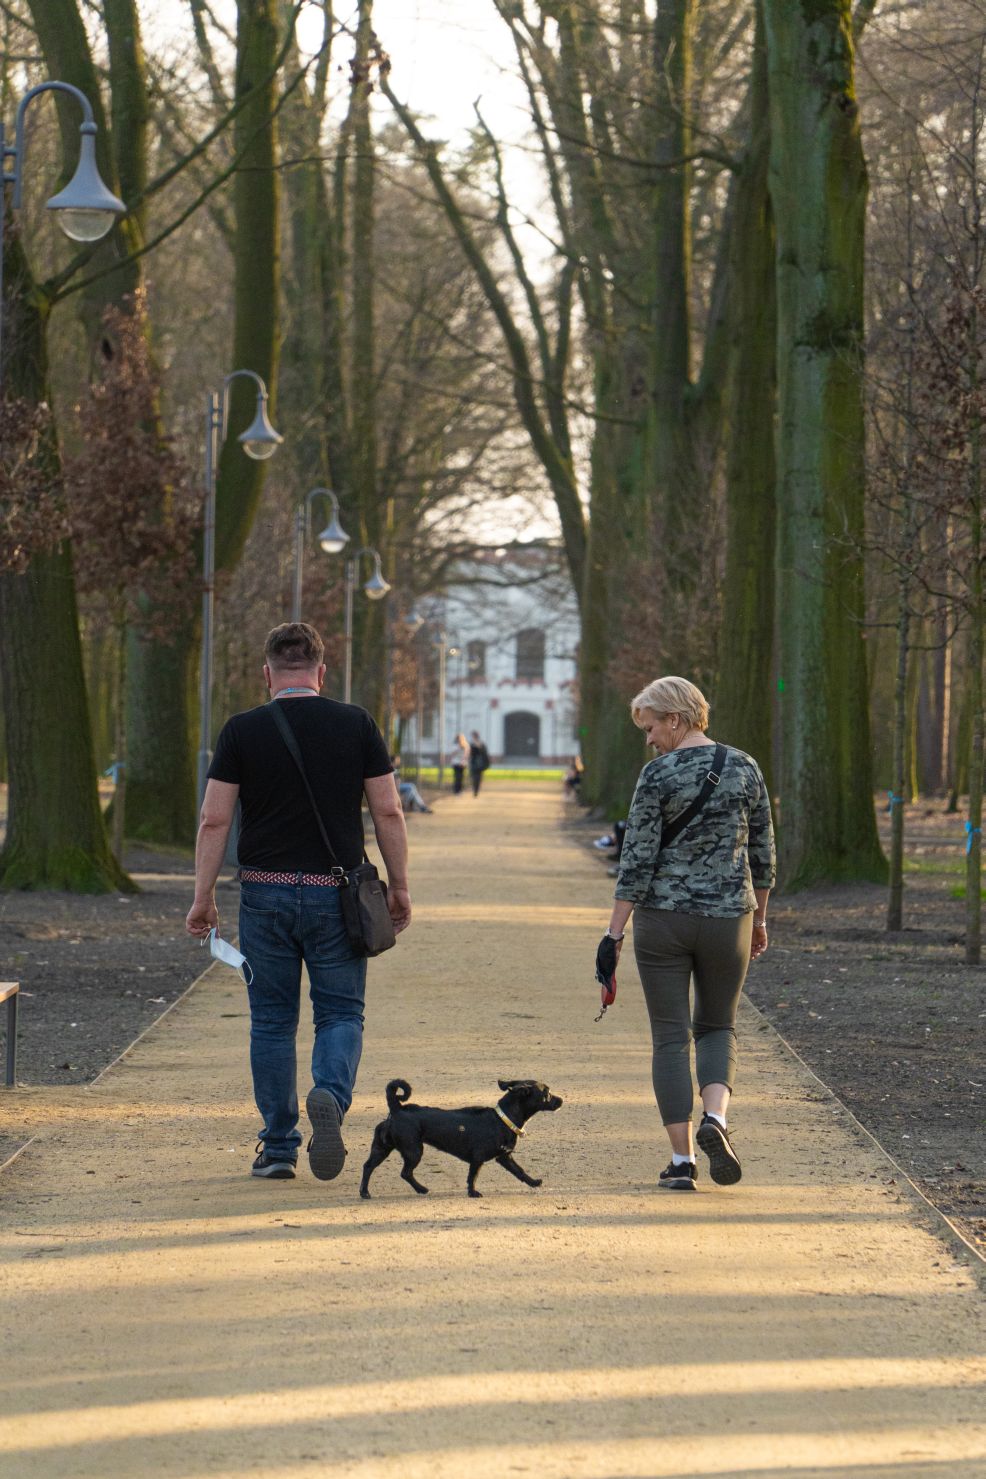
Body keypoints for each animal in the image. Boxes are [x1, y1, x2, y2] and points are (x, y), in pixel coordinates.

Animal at [362, 1082, 561, 1195]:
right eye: (547, 1093)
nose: (561, 1100)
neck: (502, 1118)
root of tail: (397, 1109)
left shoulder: (505, 1157)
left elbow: (520, 1171)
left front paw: (533, 1183)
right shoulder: (478, 1158)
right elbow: (472, 1176)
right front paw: (473, 1193)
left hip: (382, 1148)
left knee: (368, 1167)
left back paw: (364, 1193)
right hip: (414, 1150)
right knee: (405, 1173)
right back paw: (421, 1189)